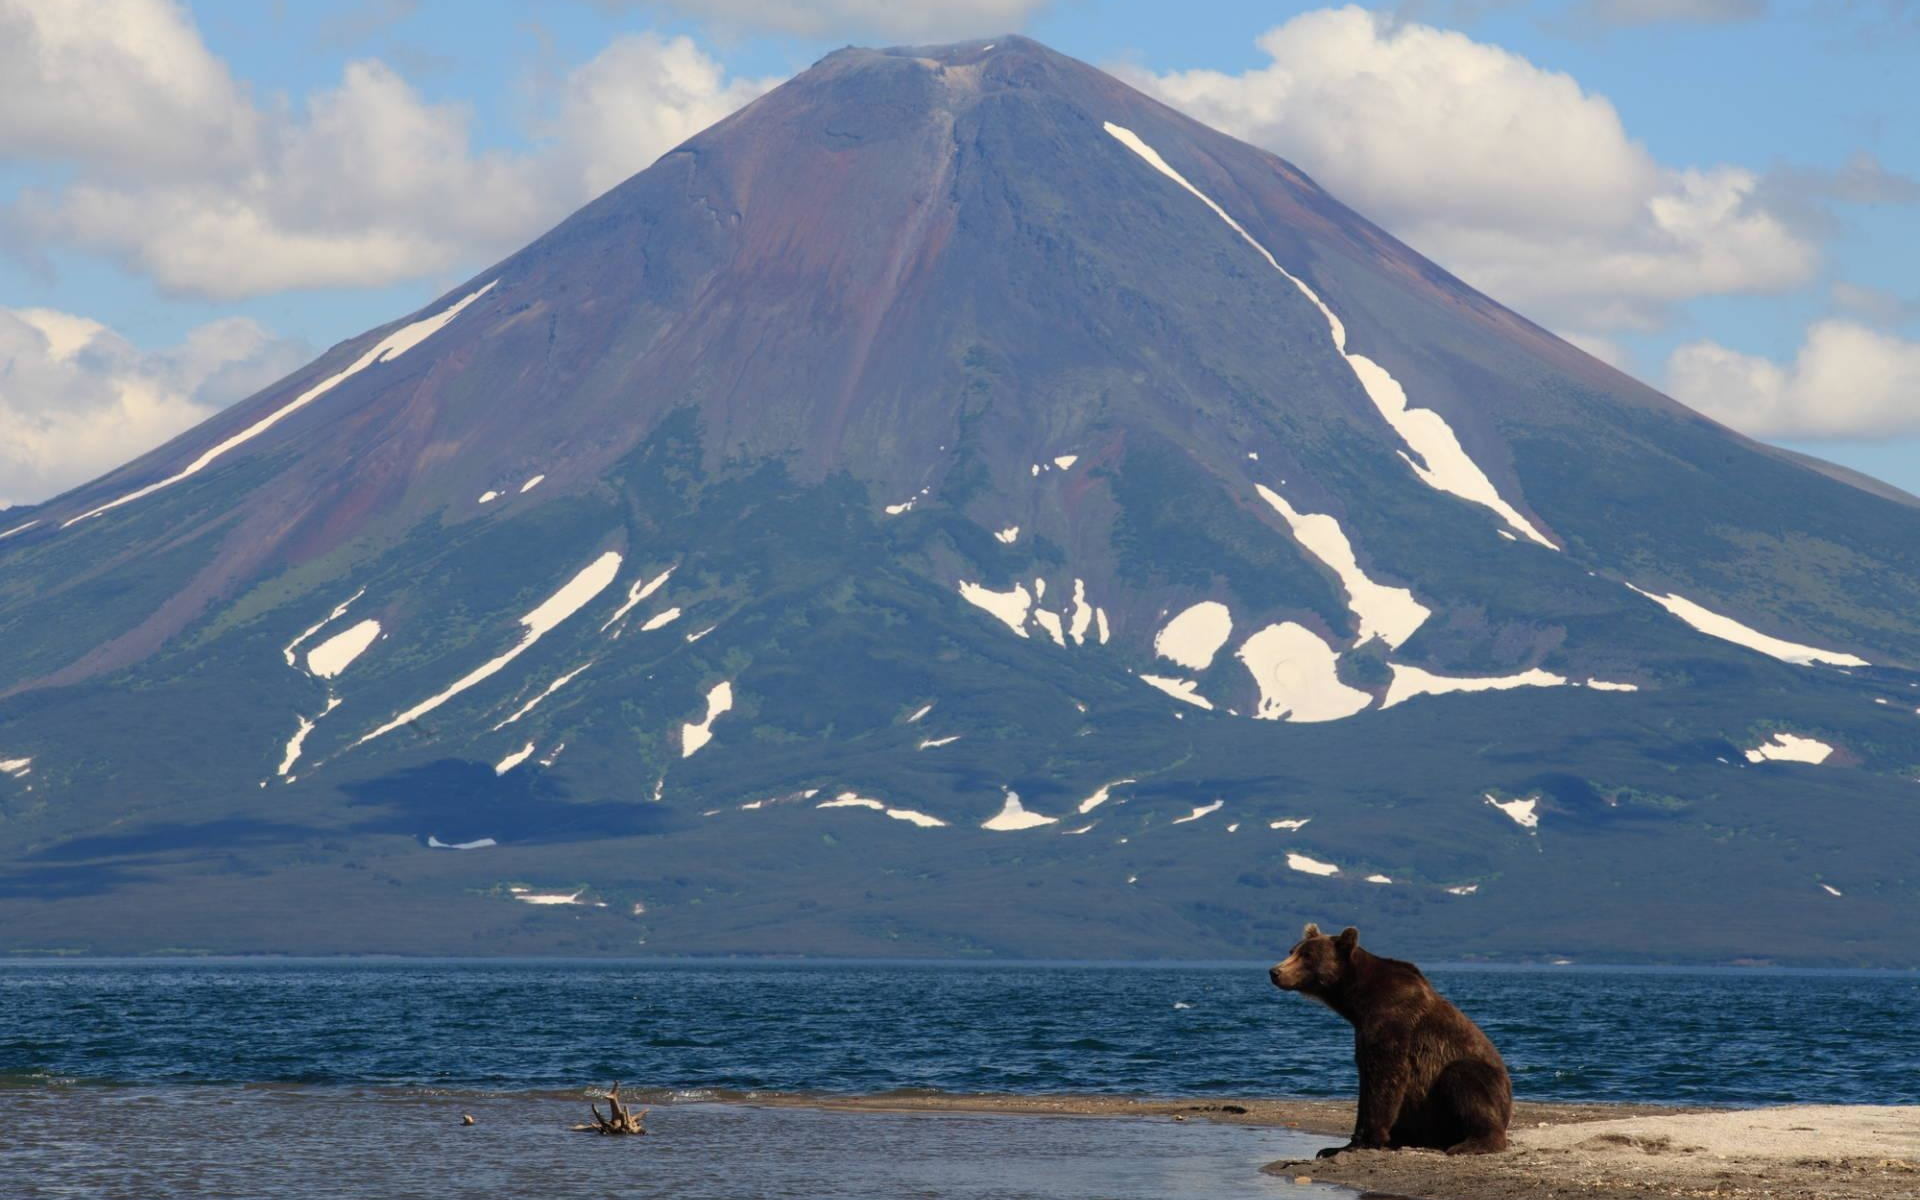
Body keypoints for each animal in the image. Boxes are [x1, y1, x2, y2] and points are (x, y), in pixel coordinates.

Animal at [1274, 925, 1512, 1152]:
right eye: (1292, 951)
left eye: (1307, 955)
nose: (1274, 971)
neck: (1358, 1001)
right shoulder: (1363, 1031)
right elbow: (1366, 1080)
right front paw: (1339, 1145)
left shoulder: (1393, 1019)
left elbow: (1385, 1075)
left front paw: (1366, 1140)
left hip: (1480, 1086)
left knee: (1464, 1079)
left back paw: (1472, 1143)